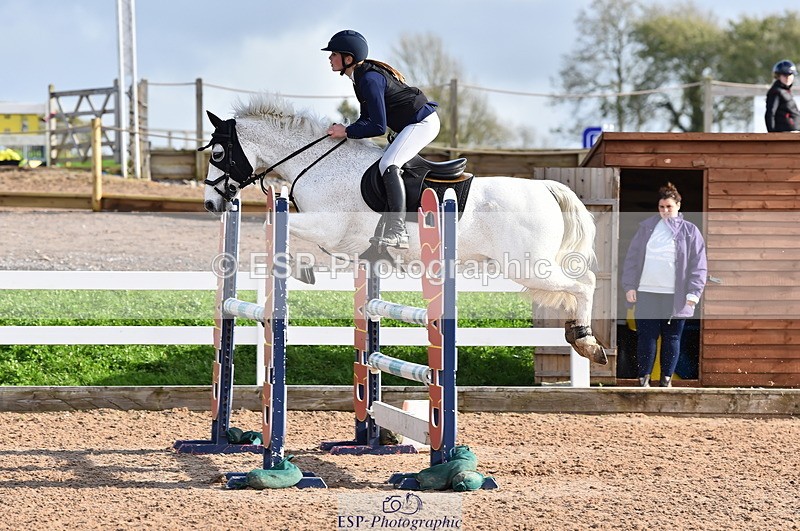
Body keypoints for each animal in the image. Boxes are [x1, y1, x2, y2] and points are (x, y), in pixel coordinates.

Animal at [202, 95, 607, 365]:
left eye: (218, 154)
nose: (210, 204)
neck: (314, 163)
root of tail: (546, 188)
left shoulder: (326, 226)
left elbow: (278, 225)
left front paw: (300, 269)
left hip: (527, 266)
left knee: (584, 284)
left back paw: (586, 342)